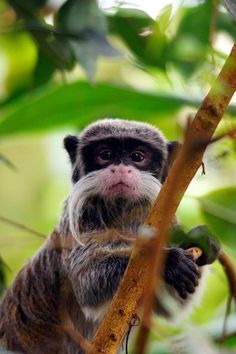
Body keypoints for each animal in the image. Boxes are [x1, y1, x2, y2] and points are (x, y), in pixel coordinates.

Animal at [0, 119, 206, 354]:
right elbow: (87, 282)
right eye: (105, 154)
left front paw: (204, 244)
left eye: (138, 157)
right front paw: (168, 260)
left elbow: (169, 307)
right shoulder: (77, 223)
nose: (121, 168)